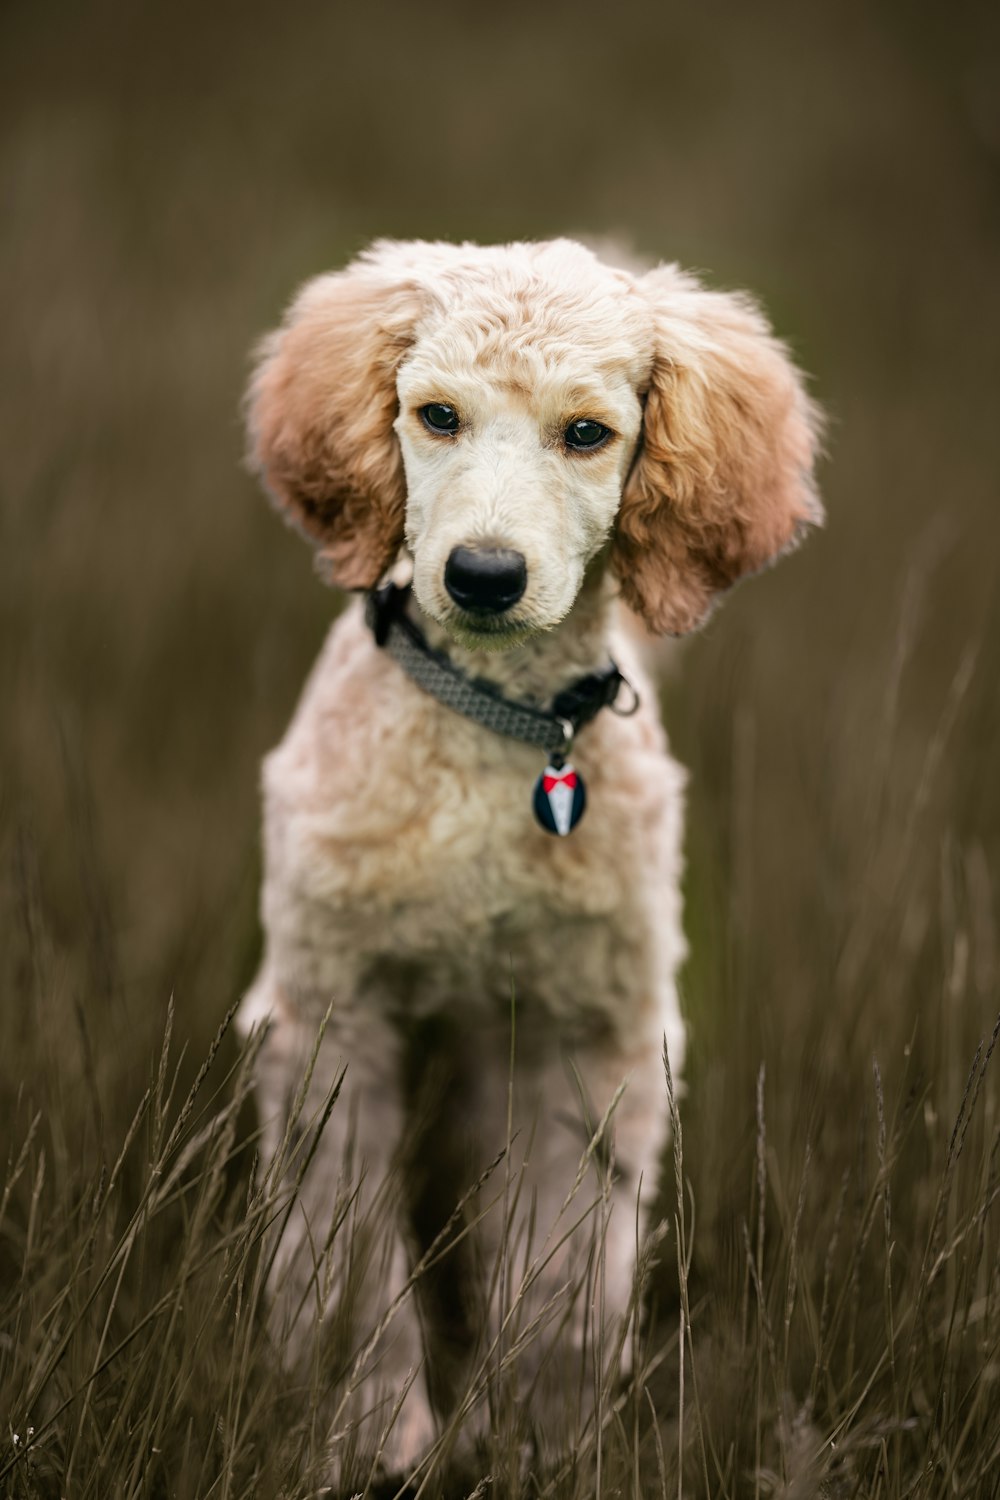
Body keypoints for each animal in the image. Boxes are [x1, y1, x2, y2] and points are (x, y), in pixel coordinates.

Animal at [236, 240, 821, 1482]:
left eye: (587, 434)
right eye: (436, 416)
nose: (484, 576)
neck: (494, 727)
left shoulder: (592, 1032)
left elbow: (568, 1270)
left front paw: (547, 1445)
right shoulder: (331, 1017)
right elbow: (344, 1261)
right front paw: (373, 1436)